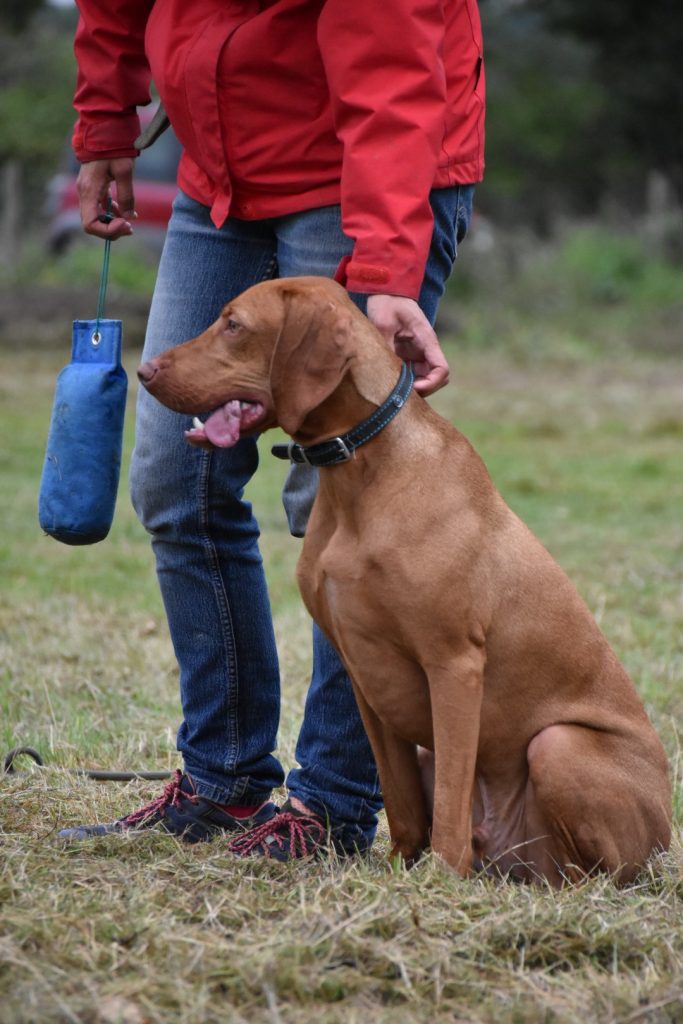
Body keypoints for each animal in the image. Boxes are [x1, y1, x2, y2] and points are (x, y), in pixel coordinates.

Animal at [139, 276, 671, 884]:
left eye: (233, 324)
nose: (145, 371)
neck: (359, 470)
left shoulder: (455, 664)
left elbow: (451, 799)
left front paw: (441, 874)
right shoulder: (363, 676)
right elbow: (401, 801)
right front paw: (400, 866)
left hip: (558, 746)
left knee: (600, 870)